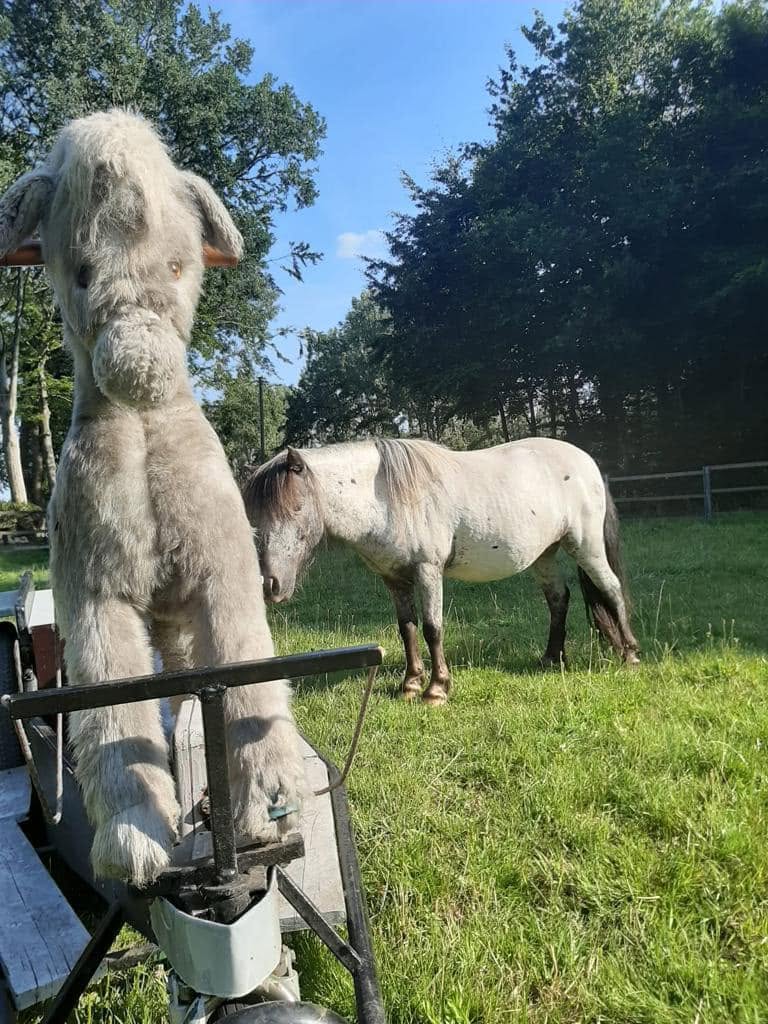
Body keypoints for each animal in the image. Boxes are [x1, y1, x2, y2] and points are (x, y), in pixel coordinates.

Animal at [0, 110, 305, 885]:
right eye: (80, 273)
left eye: (177, 267)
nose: (140, 368)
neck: (142, 436)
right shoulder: (94, 593)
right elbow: (113, 705)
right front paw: (133, 837)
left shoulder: (224, 574)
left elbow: (248, 672)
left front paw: (268, 803)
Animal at [244, 437, 640, 705]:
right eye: (255, 517)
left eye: (296, 508)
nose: (270, 585)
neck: (385, 498)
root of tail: (586, 460)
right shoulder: (394, 579)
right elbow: (407, 629)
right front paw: (410, 685)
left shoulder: (427, 571)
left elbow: (433, 628)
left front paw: (436, 690)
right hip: (545, 554)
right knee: (559, 599)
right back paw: (551, 658)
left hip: (585, 546)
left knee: (611, 589)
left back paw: (630, 655)